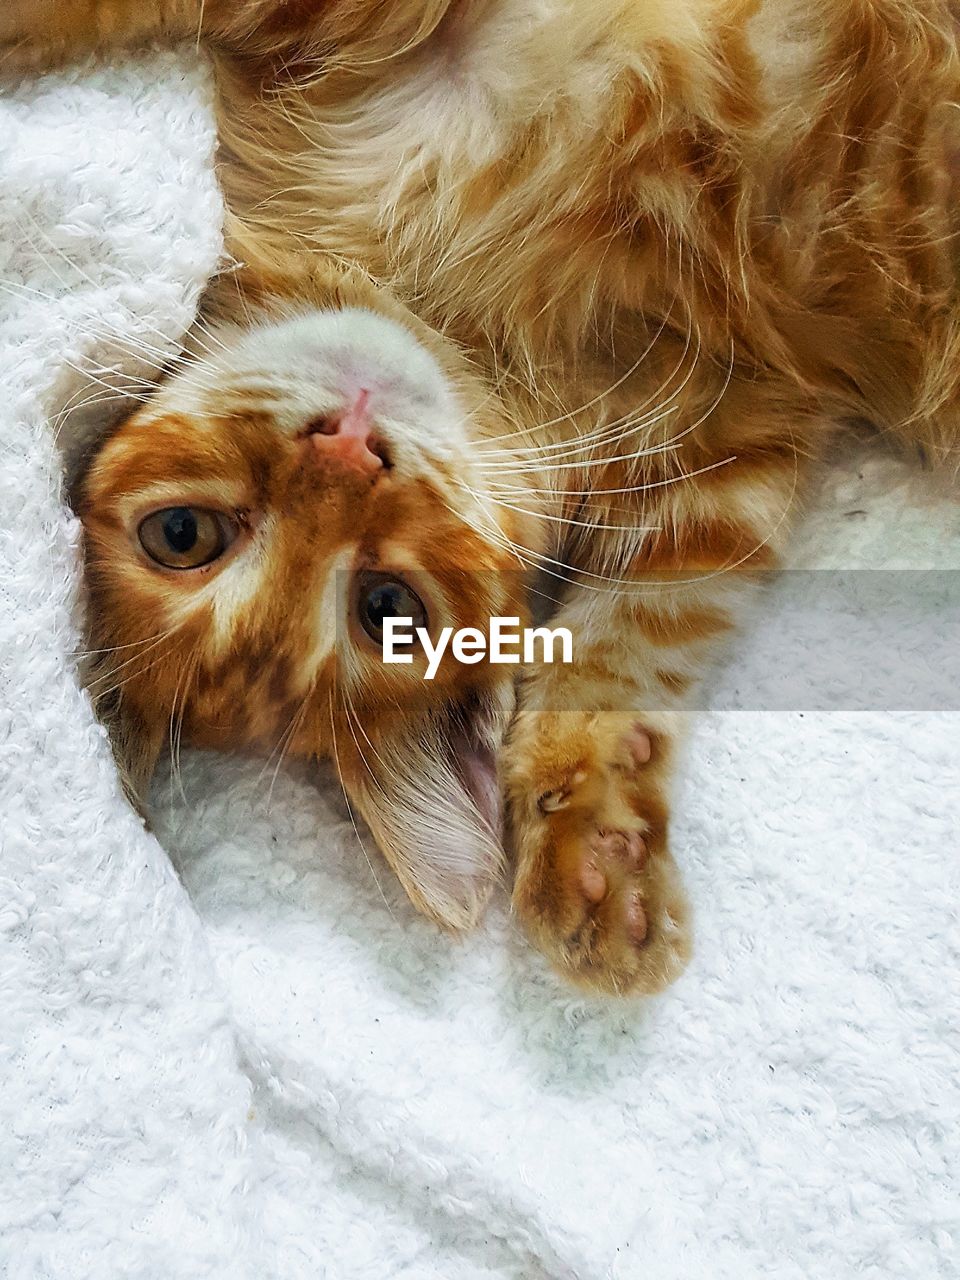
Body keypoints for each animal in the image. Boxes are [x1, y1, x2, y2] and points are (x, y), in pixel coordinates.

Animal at [3, 0, 957, 993]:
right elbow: (637, 635)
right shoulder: (724, 451)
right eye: (387, 609)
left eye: (181, 534)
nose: (349, 454)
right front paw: (597, 835)